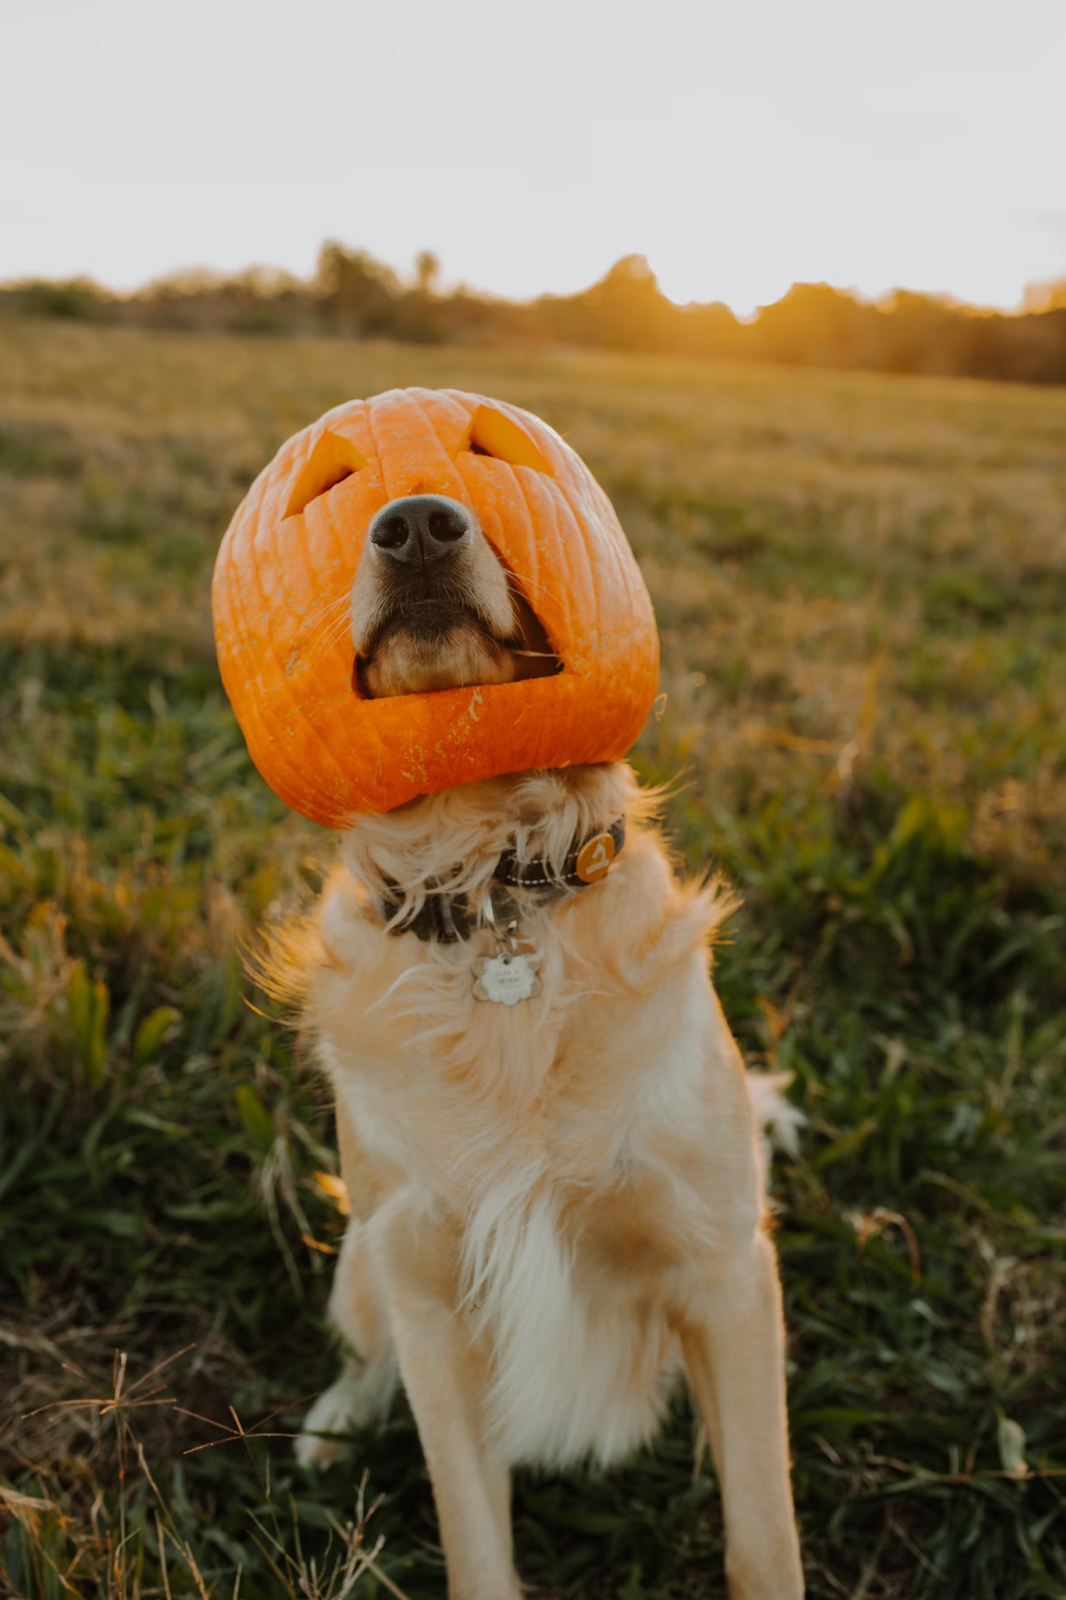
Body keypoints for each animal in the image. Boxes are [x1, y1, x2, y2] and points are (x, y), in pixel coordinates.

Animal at [286, 492, 800, 1593]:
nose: (416, 524)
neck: (489, 888)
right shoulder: (432, 1293)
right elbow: (473, 1537)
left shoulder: (726, 1267)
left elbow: (762, 1534)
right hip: (366, 1255)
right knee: (367, 1348)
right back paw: (337, 1420)